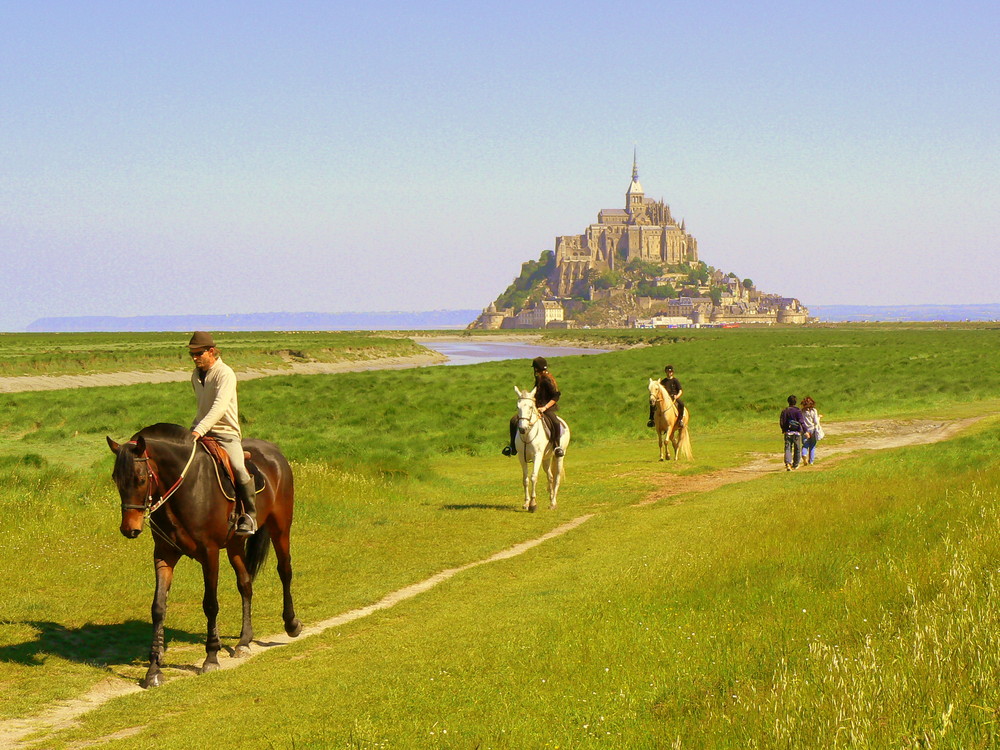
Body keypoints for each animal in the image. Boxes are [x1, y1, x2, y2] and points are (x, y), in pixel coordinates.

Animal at [108, 424, 300, 688]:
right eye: (116, 479)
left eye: (140, 479)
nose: (130, 528)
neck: (187, 488)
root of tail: (274, 451)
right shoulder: (164, 554)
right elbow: (158, 608)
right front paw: (154, 670)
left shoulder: (209, 554)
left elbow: (210, 604)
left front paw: (211, 657)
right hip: (235, 544)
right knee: (245, 583)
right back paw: (244, 641)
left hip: (280, 528)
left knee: (285, 571)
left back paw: (292, 624)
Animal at [516, 384, 572, 516]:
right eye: (518, 407)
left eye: (531, 407)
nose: (522, 429)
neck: (527, 435)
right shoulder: (522, 457)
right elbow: (525, 479)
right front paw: (526, 503)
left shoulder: (537, 456)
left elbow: (533, 477)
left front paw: (533, 504)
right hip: (546, 459)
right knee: (550, 477)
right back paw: (551, 499)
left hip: (559, 457)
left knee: (556, 478)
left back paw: (553, 503)